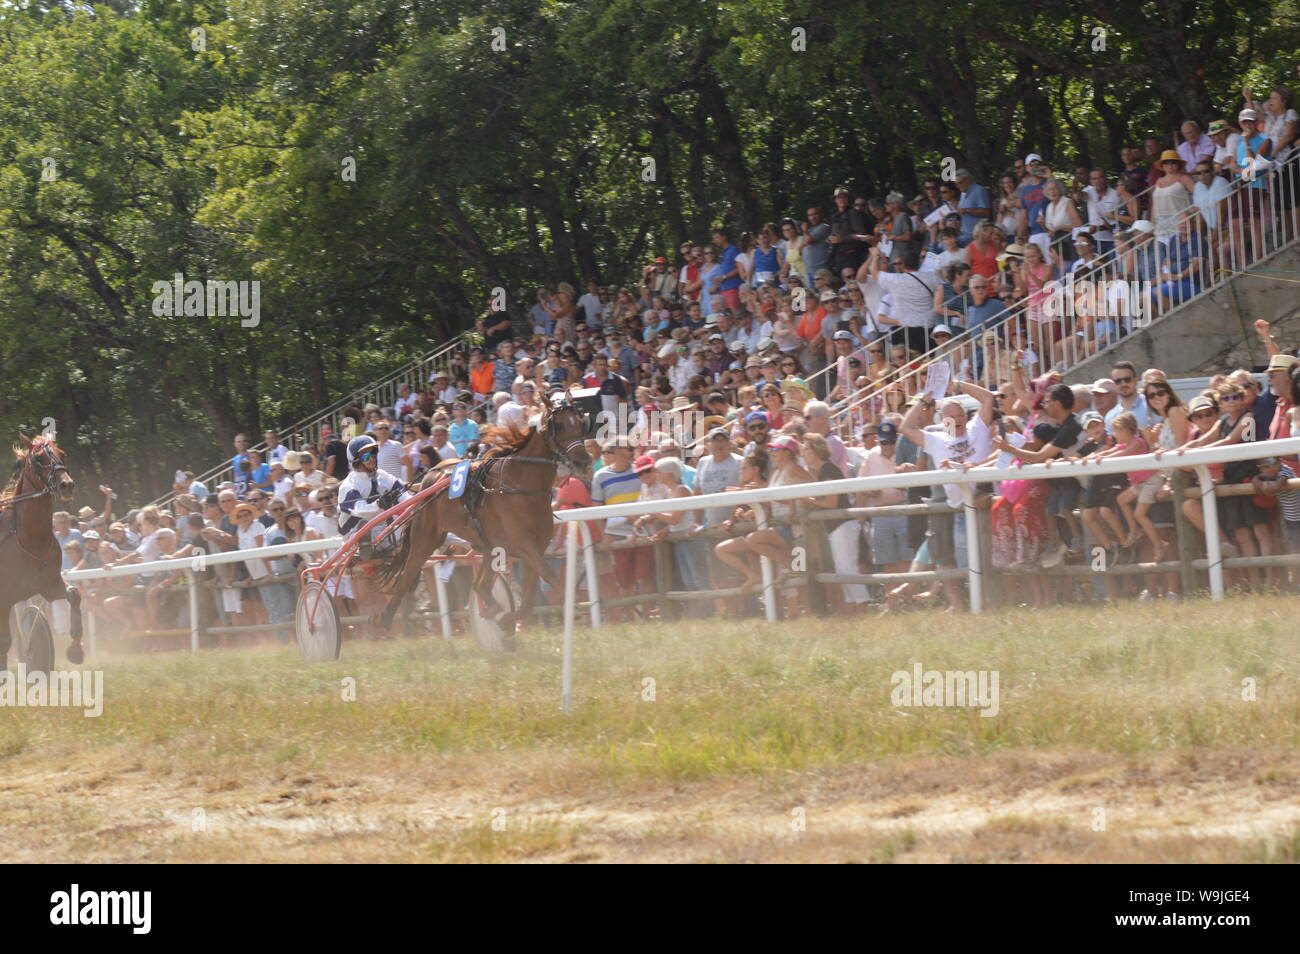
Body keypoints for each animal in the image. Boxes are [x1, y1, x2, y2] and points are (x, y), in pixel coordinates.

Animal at [0, 435, 83, 676]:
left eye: (62, 453)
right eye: (38, 458)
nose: (67, 485)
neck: (30, 538)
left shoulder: (48, 585)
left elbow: (74, 595)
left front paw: (75, 650)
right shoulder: (5, 596)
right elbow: (5, 640)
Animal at [372, 395, 591, 647]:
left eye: (581, 422)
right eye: (560, 425)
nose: (584, 461)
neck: (521, 485)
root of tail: (430, 475)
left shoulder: (535, 547)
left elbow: (529, 599)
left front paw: (507, 622)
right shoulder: (524, 545)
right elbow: (548, 577)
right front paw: (570, 607)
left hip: (487, 544)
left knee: (480, 585)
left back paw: (492, 610)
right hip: (424, 540)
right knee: (406, 576)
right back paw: (385, 617)